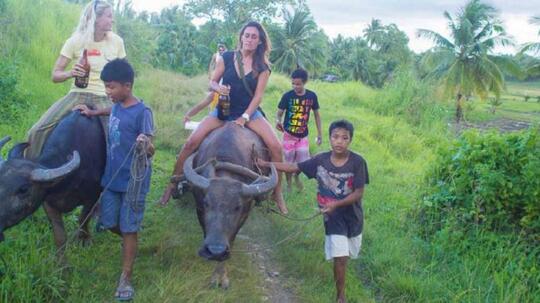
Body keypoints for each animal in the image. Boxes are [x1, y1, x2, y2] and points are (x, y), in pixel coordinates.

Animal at [0, 110, 105, 253]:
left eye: (23, 189)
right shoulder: (48, 202)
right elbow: (60, 236)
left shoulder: (93, 196)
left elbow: (83, 218)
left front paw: (84, 239)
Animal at [182, 122, 276, 288]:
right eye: (206, 203)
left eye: (237, 207)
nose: (215, 251)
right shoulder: (199, 209)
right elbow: (205, 230)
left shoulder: (243, 216)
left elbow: (231, 240)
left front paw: (220, 276)